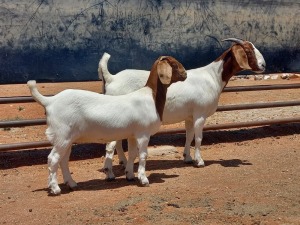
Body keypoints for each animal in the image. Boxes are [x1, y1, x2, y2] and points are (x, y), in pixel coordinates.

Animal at [28, 55, 188, 194]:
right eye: (174, 64)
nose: (185, 75)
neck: (151, 97)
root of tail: (50, 101)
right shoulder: (143, 133)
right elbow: (143, 155)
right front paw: (143, 179)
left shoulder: (132, 134)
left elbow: (132, 154)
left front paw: (130, 175)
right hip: (62, 135)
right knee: (53, 159)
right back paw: (55, 189)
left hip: (66, 138)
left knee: (63, 160)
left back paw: (72, 184)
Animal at [98, 37, 264, 177]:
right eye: (248, 51)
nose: (263, 65)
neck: (213, 77)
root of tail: (111, 78)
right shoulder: (200, 114)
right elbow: (198, 138)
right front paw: (200, 161)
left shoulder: (190, 116)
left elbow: (189, 136)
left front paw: (188, 158)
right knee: (111, 145)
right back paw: (110, 173)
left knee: (118, 142)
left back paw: (124, 163)